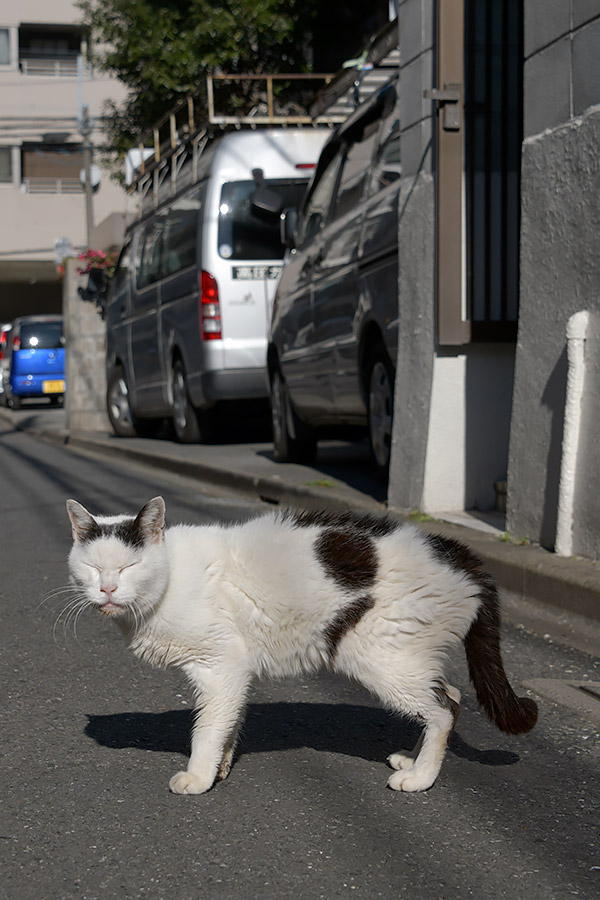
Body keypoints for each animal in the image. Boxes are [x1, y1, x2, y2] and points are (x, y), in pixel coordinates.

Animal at [67, 500, 540, 796]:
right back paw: (412, 759)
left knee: (445, 709)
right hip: (406, 659)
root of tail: (462, 556)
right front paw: (222, 767)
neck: (170, 580)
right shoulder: (236, 673)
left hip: (380, 657)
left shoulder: (220, 666)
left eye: (129, 567)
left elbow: (207, 728)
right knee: (451, 695)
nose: (107, 589)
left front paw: (198, 777)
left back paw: (420, 778)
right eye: (91, 568)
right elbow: (229, 722)